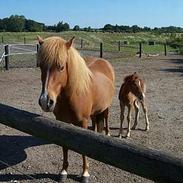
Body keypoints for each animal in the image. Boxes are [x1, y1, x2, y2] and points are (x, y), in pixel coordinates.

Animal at [36, 36, 114, 182]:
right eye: (40, 66)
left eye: (61, 67)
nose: (45, 101)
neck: (73, 95)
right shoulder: (62, 122)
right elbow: (65, 147)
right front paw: (63, 171)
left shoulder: (83, 122)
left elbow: (83, 149)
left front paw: (85, 173)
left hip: (106, 107)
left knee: (106, 117)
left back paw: (107, 134)